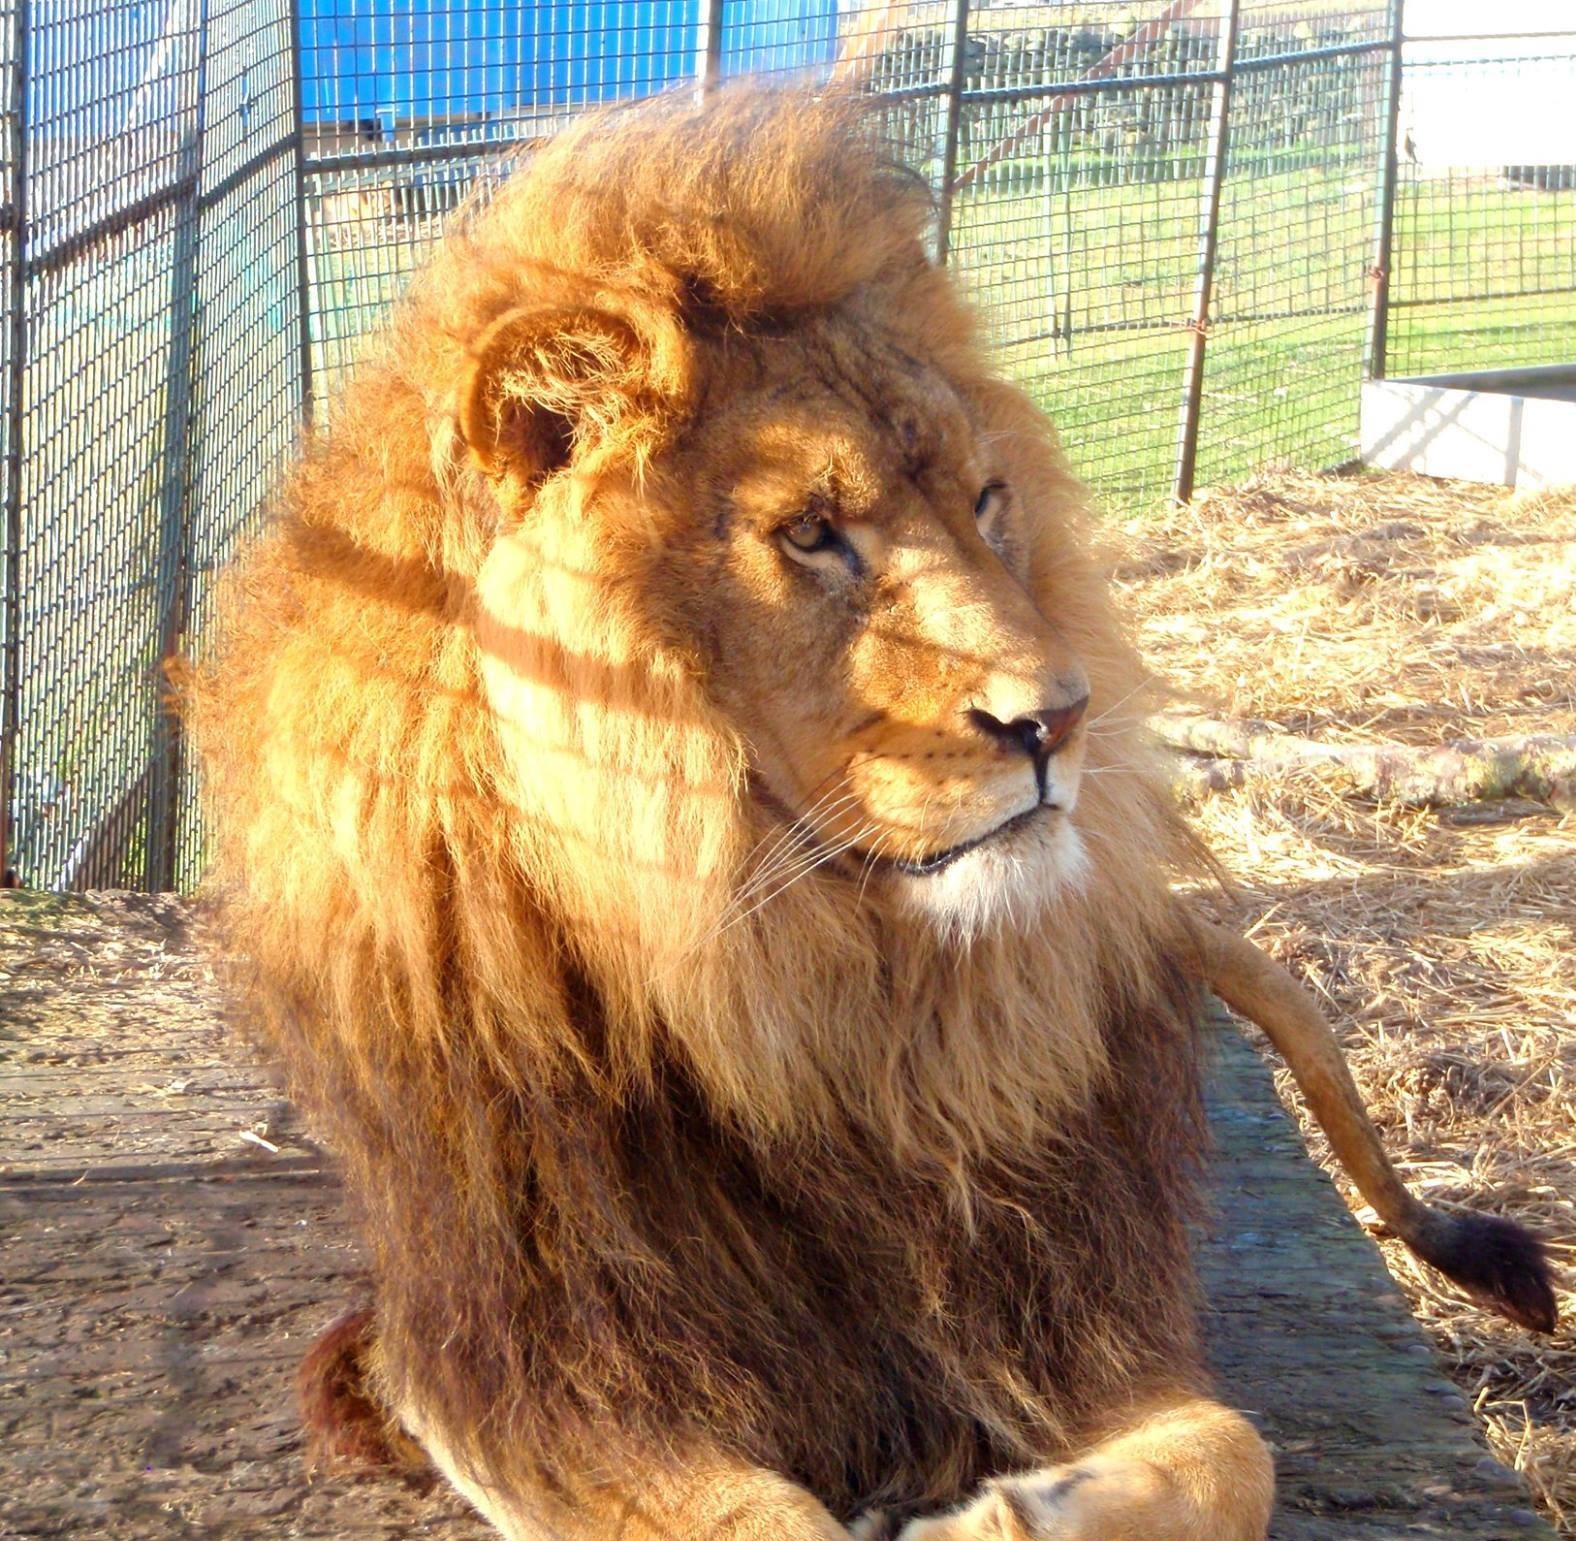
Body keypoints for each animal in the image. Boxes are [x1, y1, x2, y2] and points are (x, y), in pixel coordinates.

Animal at [181, 87, 1550, 1537]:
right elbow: (760, 1515)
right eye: (809, 532)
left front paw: (1005, 1510)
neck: (807, 996)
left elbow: (1233, 1451)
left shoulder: (1060, 1300)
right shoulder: (521, 1367)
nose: (1060, 719)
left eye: (989, 501)